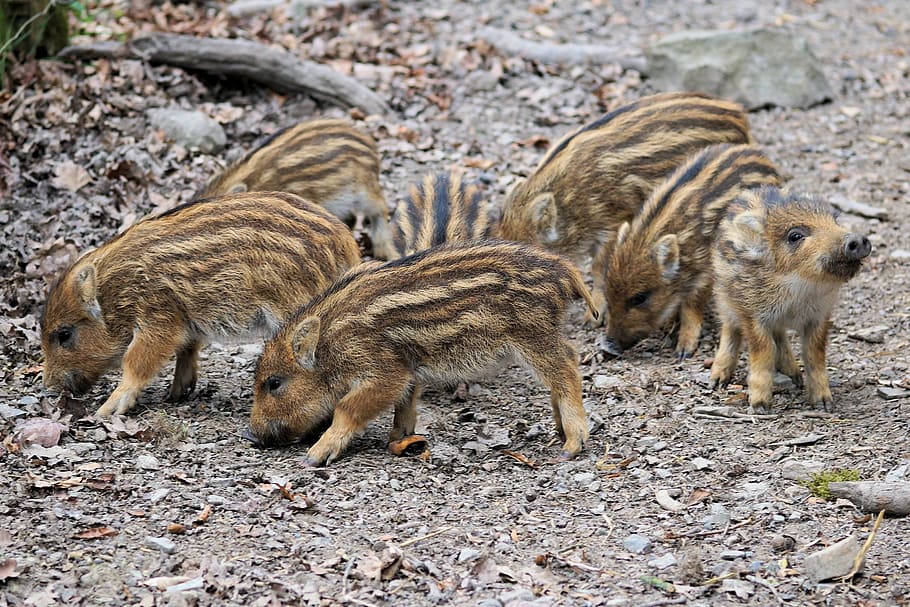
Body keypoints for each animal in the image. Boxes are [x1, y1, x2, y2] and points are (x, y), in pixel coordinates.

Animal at [41, 192, 361, 417]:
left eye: (64, 334)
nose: (48, 389)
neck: (115, 291)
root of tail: (346, 242)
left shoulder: (158, 318)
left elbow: (136, 361)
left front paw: (107, 410)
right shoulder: (185, 320)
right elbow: (187, 347)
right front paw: (177, 394)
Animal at [247, 240, 599, 465]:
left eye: (274, 383)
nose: (251, 435)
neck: (331, 342)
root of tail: (564, 270)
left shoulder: (384, 370)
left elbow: (347, 407)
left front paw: (314, 457)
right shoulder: (407, 367)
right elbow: (405, 404)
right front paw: (400, 439)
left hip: (532, 335)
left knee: (567, 366)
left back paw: (571, 445)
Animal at [602, 144, 782, 359]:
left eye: (640, 298)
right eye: (607, 292)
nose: (608, 347)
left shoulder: (706, 270)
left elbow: (692, 306)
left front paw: (684, 350)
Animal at [709, 186, 872, 413]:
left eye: (835, 221)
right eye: (795, 236)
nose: (857, 239)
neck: (799, 290)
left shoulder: (820, 315)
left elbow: (814, 354)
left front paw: (824, 404)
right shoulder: (752, 313)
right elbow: (764, 351)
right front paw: (760, 407)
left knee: (779, 334)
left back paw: (794, 376)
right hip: (725, 299)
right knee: (730, 328)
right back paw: (716, 381)